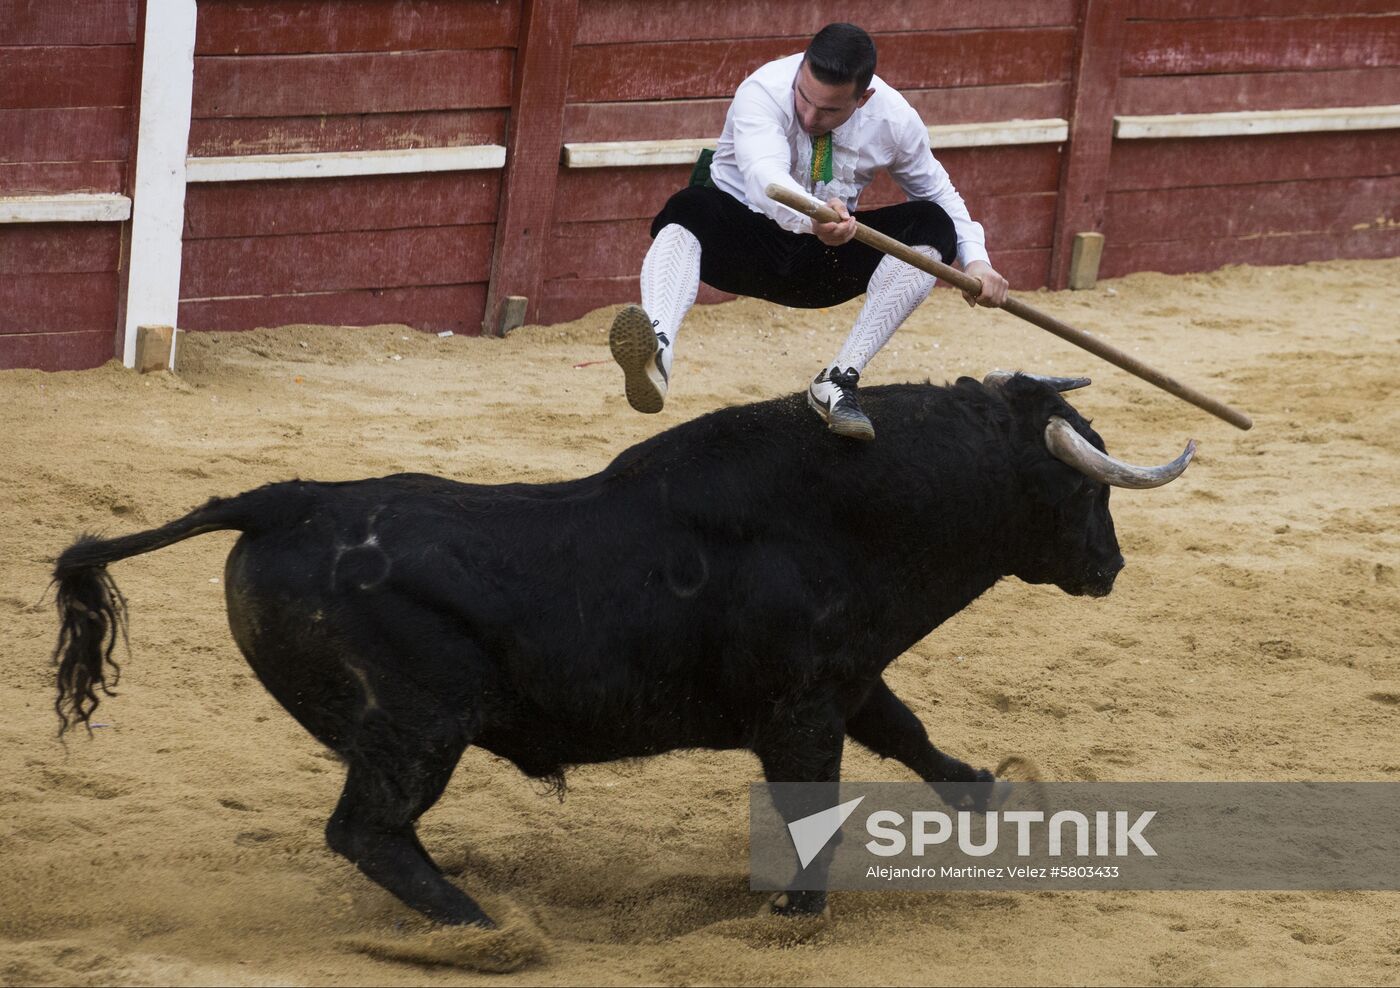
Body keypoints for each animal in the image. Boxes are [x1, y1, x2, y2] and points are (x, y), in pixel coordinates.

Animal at [51, 372, 1194, 928]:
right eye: (1083, 488)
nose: (1110, 567)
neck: (836, 513)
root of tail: (281, 500)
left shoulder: (840, 681)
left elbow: (908, 734)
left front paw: (997, 798)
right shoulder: (799, 709)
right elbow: (814, 809)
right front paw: (794, 917)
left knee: (376, 833)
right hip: (418, 722)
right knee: (368, 832)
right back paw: (486, 931)